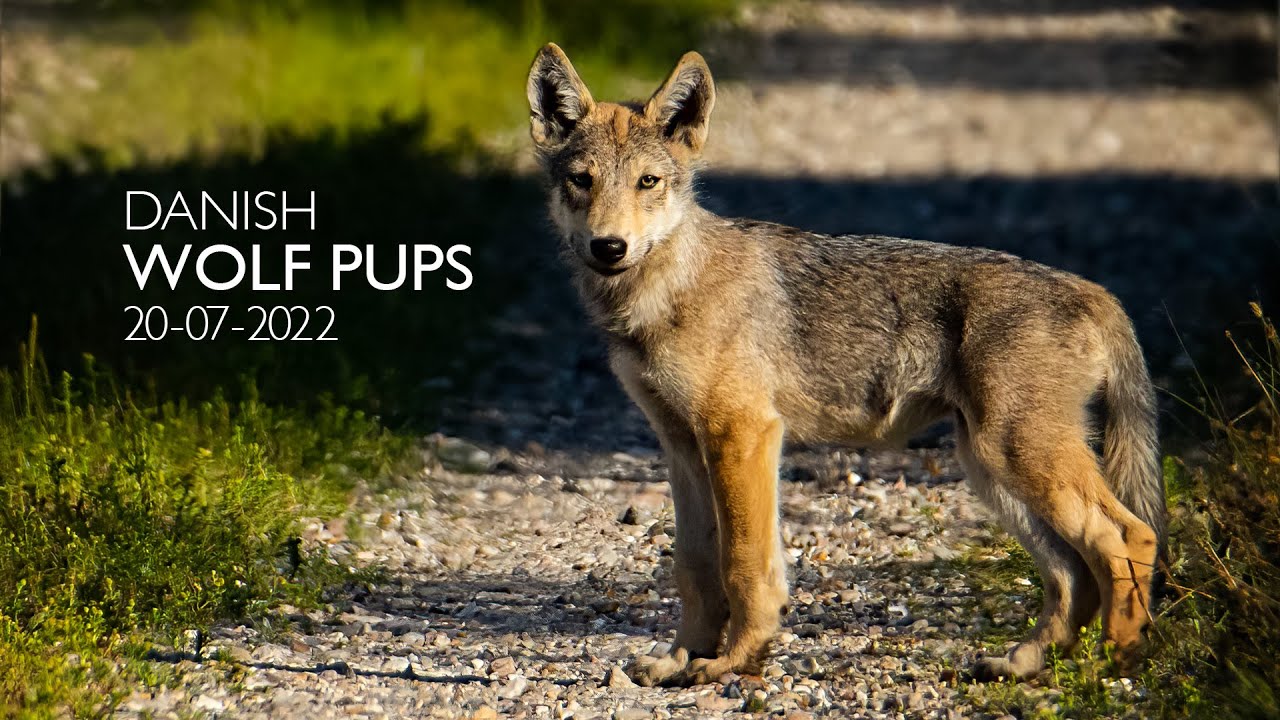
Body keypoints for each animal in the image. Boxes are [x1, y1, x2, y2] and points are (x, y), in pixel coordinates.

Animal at [525, 43, 1165, 687]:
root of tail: (1092, 290)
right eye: (581, 181)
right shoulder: (681, 447)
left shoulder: (743, 434)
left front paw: (734, 660)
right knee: (1072, 572)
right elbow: (695, 568)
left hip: (1017, 456)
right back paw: (1026, 662)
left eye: (647, 182)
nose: (609, 247)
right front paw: (682, 658)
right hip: (989, 467)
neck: (663, 291)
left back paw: (1116, 665)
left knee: (1129, 536)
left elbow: (743, 564)